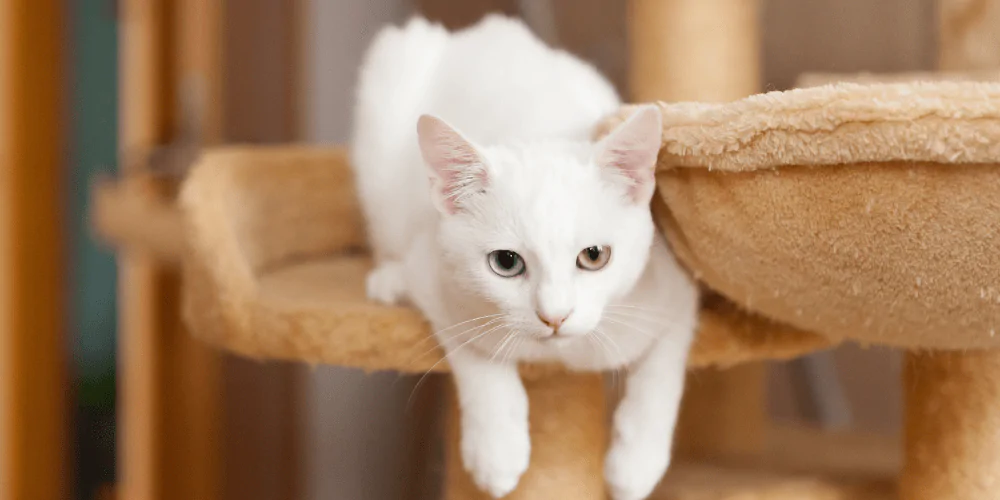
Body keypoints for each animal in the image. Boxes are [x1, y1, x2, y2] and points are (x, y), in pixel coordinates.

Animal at [350, 14, 696, 500]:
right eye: (506, 263)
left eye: (594, 256)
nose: (555, 316)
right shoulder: (436, 273)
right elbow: (476, 350)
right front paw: (496, 449)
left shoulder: (671, 288)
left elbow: (662, 372)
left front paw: (635, 464)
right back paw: (388, 280)